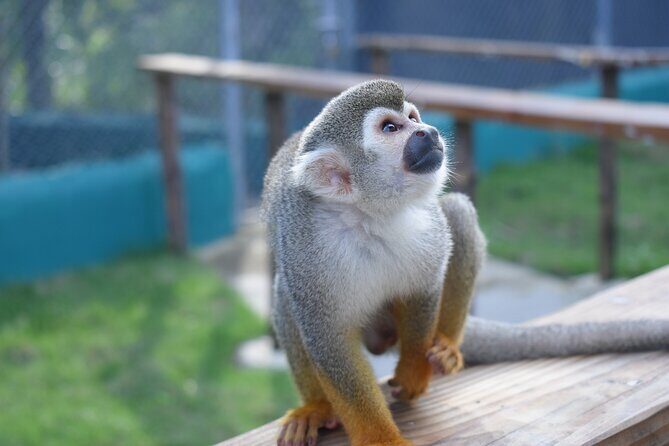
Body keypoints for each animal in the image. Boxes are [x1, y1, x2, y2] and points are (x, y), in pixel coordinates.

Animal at [261, 80, 669, 446]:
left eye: (413, 117)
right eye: (391, 128)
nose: (428, 131)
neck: (371, 217)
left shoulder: (424, 228)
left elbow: (423, 291)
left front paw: (414, 372)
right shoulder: (307, 248)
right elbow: (327, 339)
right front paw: (380, 438)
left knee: (456, 211)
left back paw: (446, 346)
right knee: (285, 294)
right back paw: (316, 407)